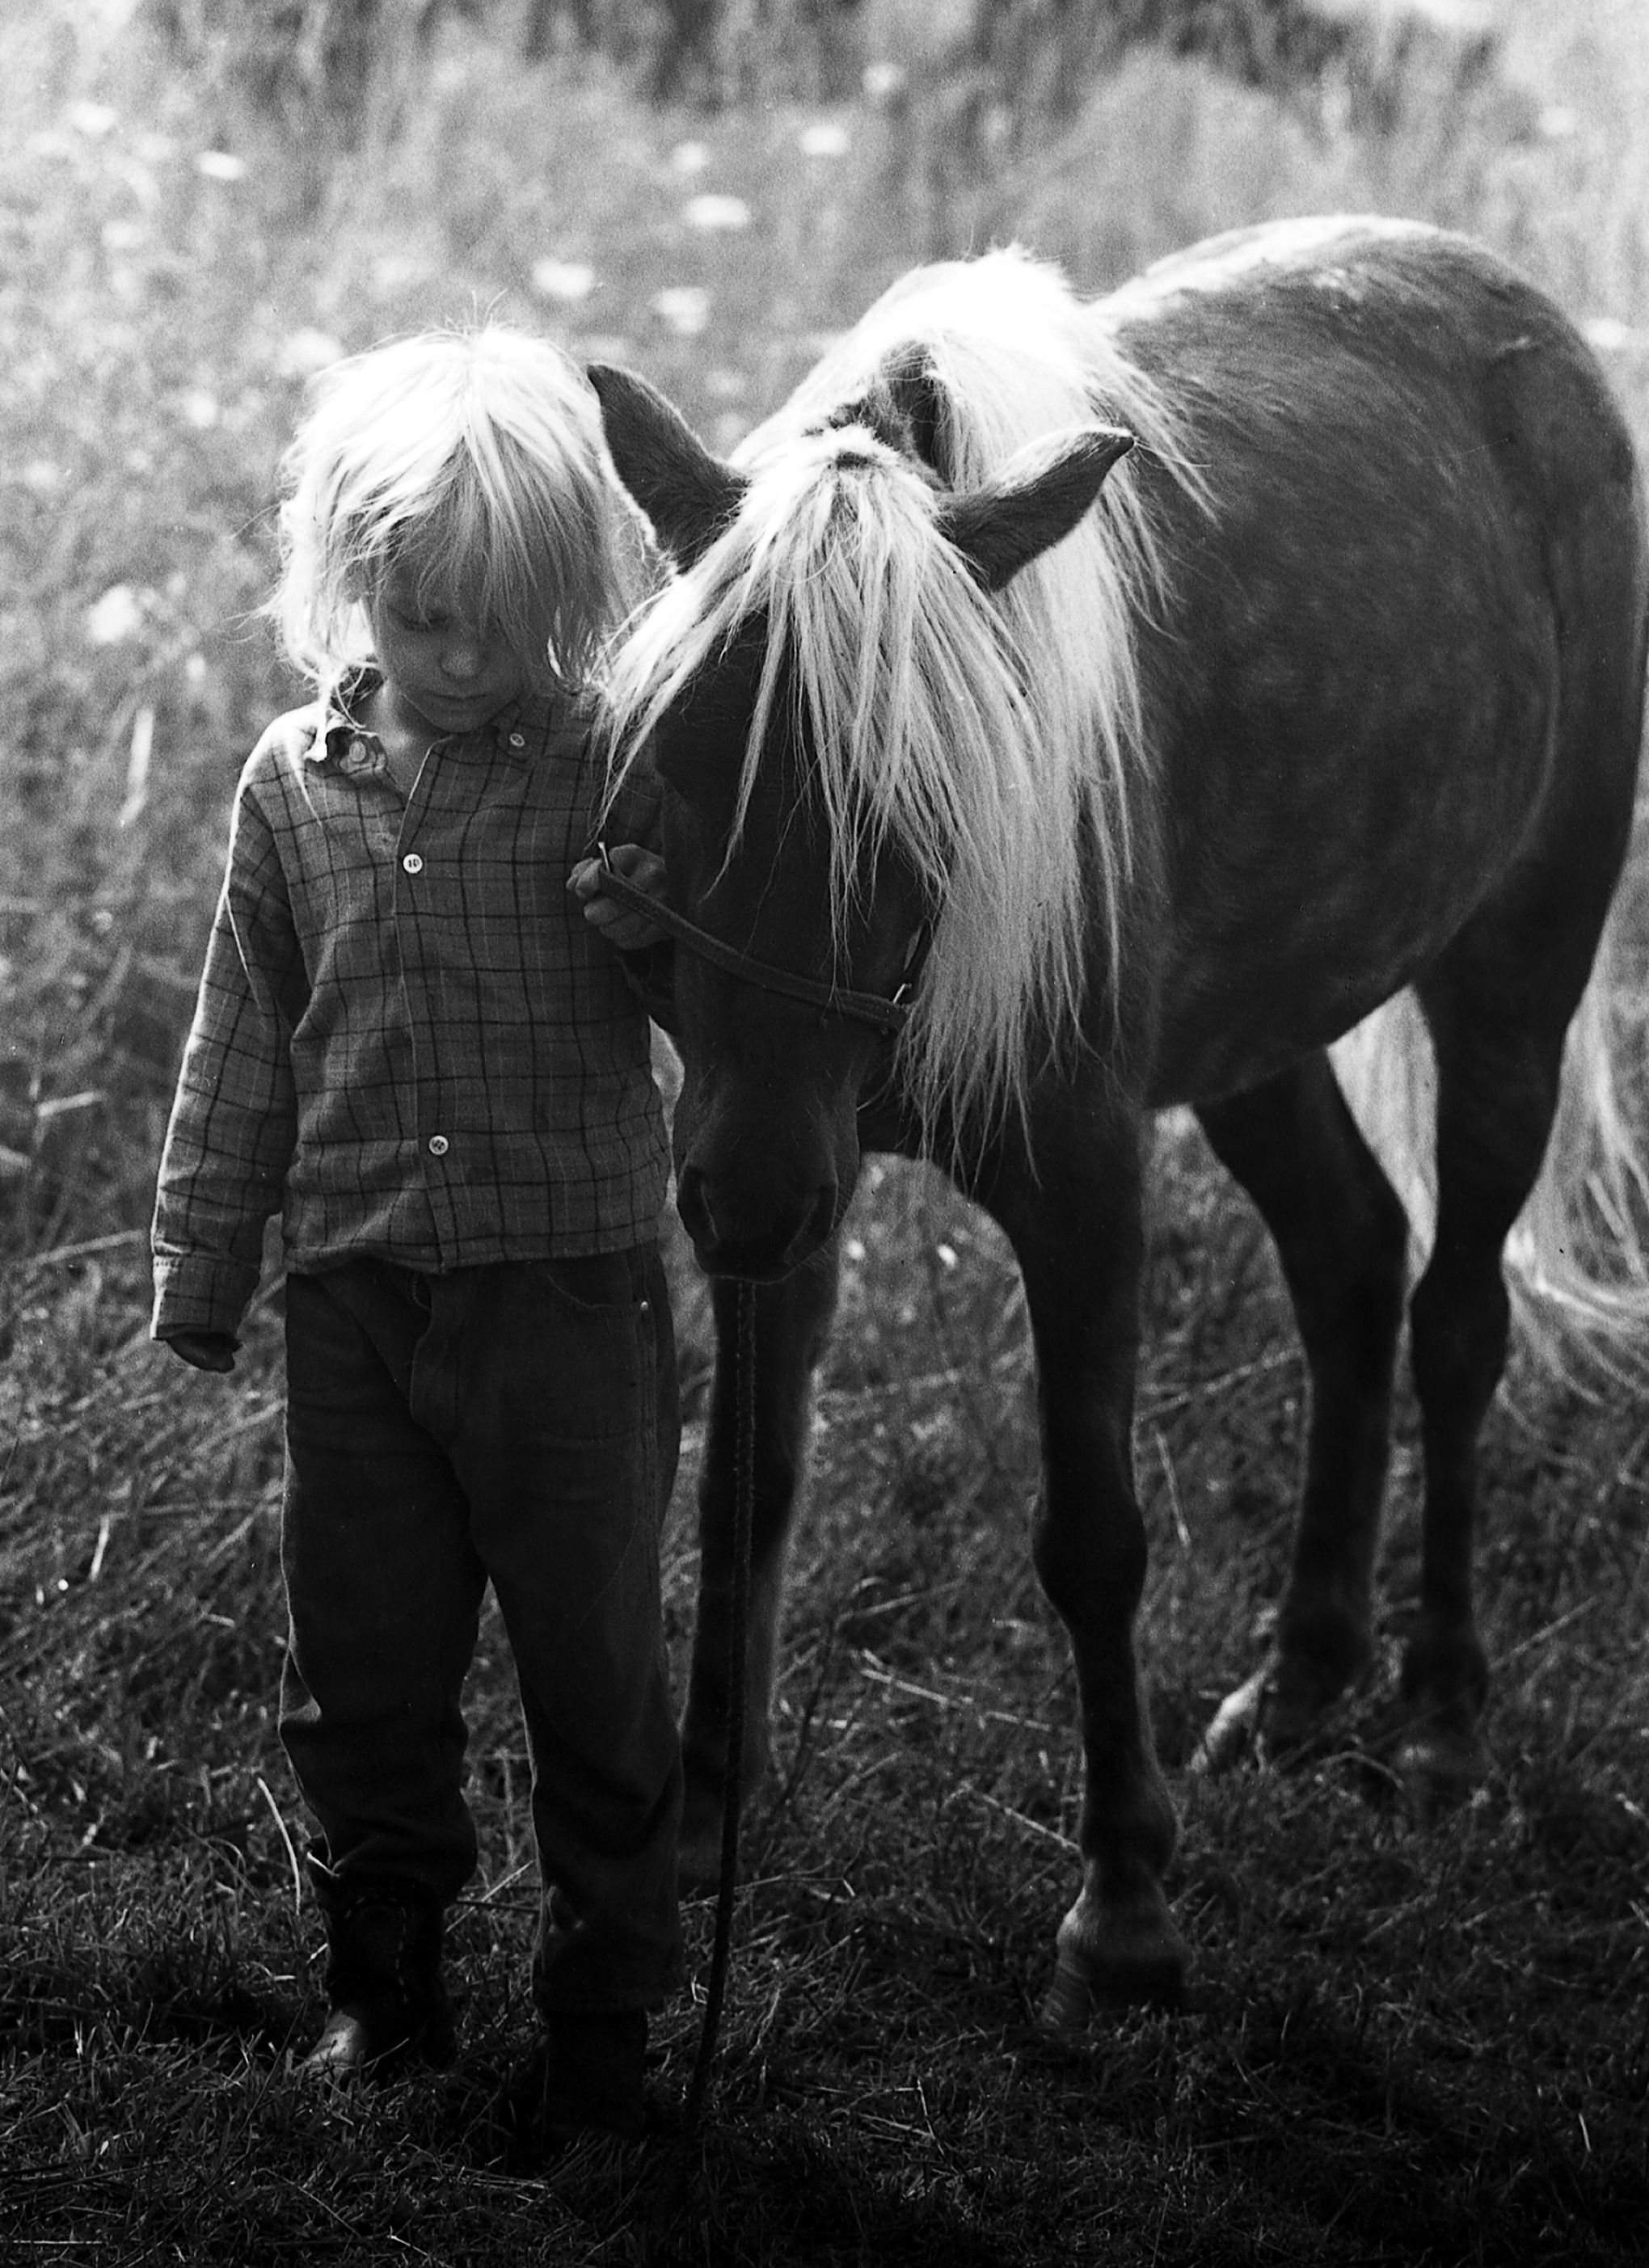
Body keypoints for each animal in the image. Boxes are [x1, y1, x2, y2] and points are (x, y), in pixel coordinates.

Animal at [587, 217, 1649, 2027]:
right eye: (674, 756)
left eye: (928, 793)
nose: (741, 1198)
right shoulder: (773, 1165)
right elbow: (749, 1484)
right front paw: (711, 1804)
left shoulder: (1075, 1182)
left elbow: (1092, 1536)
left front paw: (1125, 1903)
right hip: (1255, 1041)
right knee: (1354, 1267)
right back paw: (1299, 1683)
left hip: (1513, 979)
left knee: (1457, 1322)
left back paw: (1441, 1718)